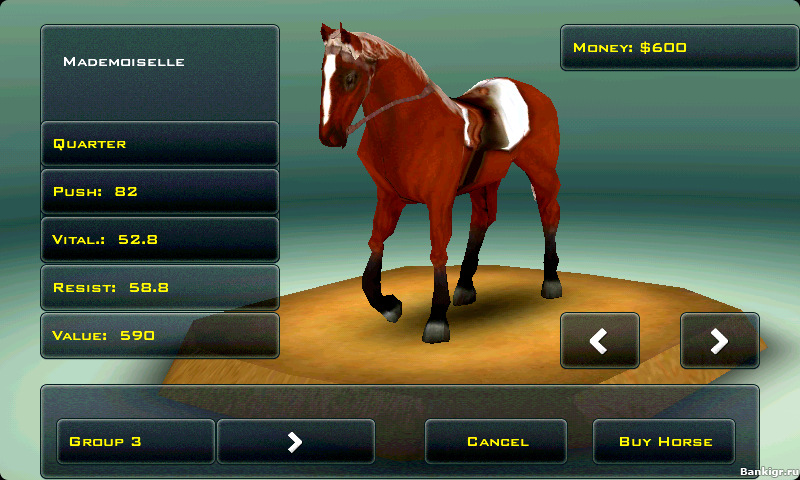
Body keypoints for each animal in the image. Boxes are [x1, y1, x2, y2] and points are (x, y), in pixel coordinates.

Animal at [318, 23, 561, 343]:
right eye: (323, 73)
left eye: (350, 77)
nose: (329, 136)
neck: (410, 124)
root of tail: (536, 94)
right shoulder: (388, 198)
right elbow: (376, 242)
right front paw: (388, 304)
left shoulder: (439, 200)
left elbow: (437, 250)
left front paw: (436, 319)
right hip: (484, 181)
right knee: (482, 219)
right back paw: (465, 286)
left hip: (540, 169)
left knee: (548, 212)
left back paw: (551, 281)